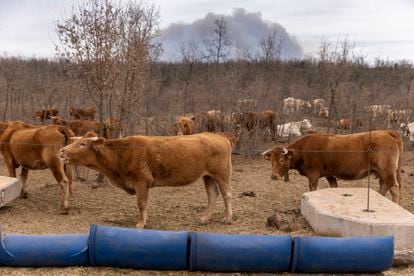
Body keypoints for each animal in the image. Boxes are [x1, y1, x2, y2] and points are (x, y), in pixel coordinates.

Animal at [59, 132, 233, 229]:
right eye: (74, 142)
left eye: (82, 144)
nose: (62, 151)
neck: (121, 153)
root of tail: (220, 137)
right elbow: (145, 204)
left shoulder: (141, 181)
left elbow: (141, 204)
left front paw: (141, 223)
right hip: (208, 176)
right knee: (212, 195)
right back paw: (205, 219)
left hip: (222, 174)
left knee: (226, 194)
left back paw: (227, 218)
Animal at [264, 130, 402, 204]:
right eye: (271, 161)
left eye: (281, 160)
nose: (273, 176)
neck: (304, 148)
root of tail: (387, 132)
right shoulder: (330, 175)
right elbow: (334, 187)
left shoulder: (313, 174)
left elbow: (312, 189)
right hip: (381, 172)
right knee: (384, 186)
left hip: (387, 171)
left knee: (394, 188)